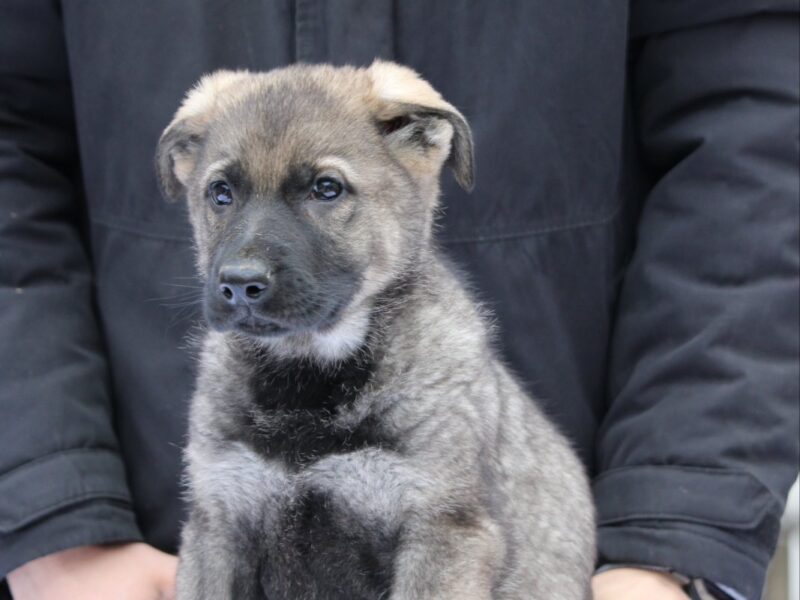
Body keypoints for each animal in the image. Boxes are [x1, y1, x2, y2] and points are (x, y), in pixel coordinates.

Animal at [155, 62, 592, 600]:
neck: (308, 378)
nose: (239, 285)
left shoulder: (442, 531)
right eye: (221, 193)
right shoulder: (217, 524)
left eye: (326, 189)